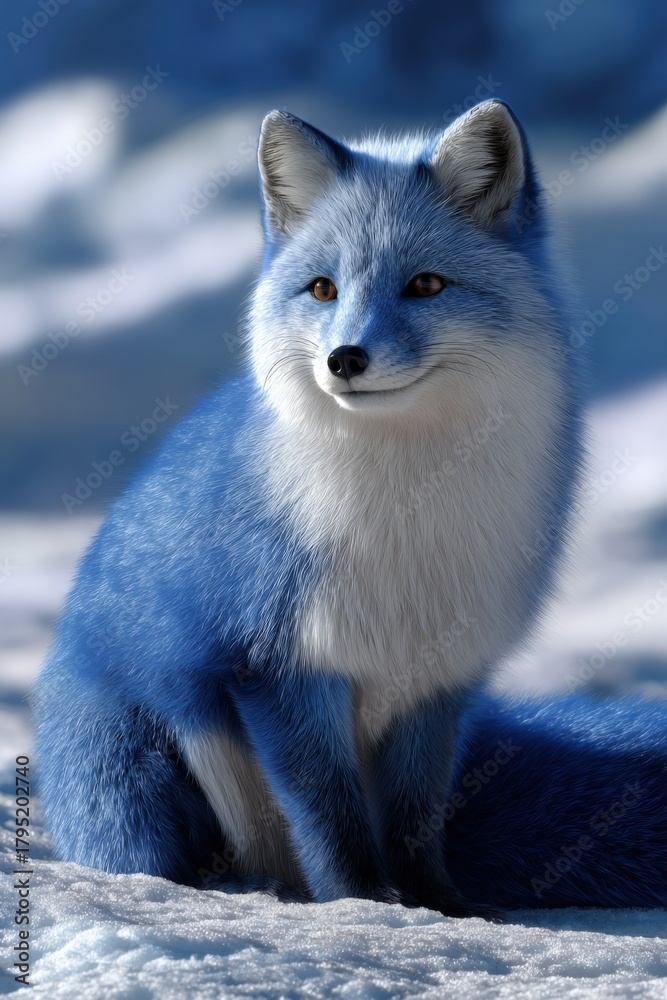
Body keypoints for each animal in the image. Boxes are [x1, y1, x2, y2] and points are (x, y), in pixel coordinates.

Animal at [34, 99, 589, 918]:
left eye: (426, 284)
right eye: (323, 290)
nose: (344, 359)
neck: (407, 507)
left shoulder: (436, 680)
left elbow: (416, 821)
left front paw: (443, 908)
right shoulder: (278, 665)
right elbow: (329, 816)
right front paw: (364, 906)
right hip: (146, 760)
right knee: (159, 856)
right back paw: (246, 890)